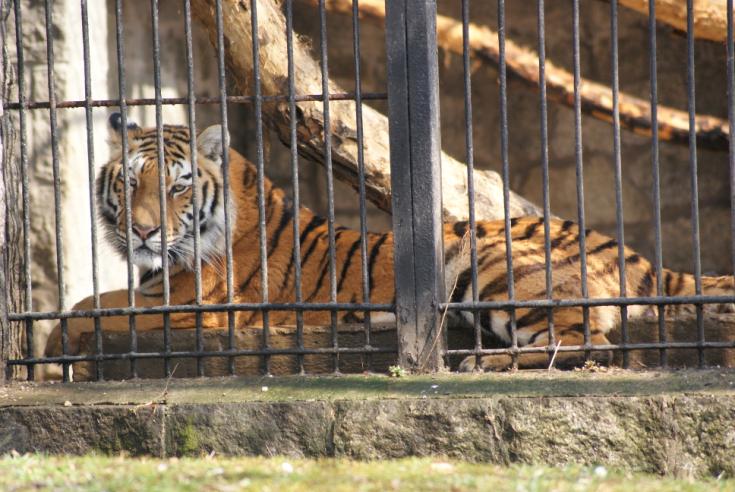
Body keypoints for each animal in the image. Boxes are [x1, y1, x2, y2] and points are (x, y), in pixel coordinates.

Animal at [44, 113, 735, 370]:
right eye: (130, 181)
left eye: (179, 186)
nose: (144, 230)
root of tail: (629, 249)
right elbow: (88, 303)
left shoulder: (192, 304)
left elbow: (86, 308)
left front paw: (53, 350)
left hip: (491, 267)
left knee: (588, 343)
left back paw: (481, 364)